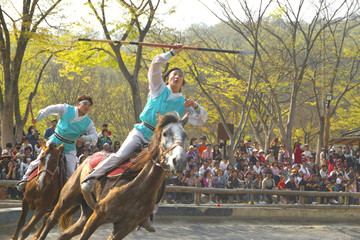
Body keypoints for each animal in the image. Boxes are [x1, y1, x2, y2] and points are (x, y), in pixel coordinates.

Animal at [36, 111, 188, 239]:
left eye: (185, 135)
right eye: (165, 133)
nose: (179, 161)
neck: (138, 187)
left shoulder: (124, 228)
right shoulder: (98, 215)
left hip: (86, 212)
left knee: (66, 234)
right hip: (66, 199)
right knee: (50, 220)